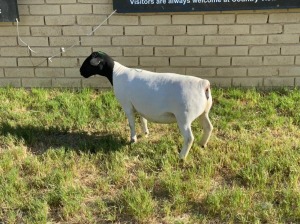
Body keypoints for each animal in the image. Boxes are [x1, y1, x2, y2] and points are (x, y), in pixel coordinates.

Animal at [78, 50, 212, 159]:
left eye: (89, 61)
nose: (80, 71)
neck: (116, 73)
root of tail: (204, 84)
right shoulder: (140, 106)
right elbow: (143, 120)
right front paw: (145, 133)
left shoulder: (127, 105)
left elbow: (131, 124)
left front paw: (133, 140)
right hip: (204, 112)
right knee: (208, 127)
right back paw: (202, 144)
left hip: (184, 117)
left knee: (189, 138)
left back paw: (182, 157)